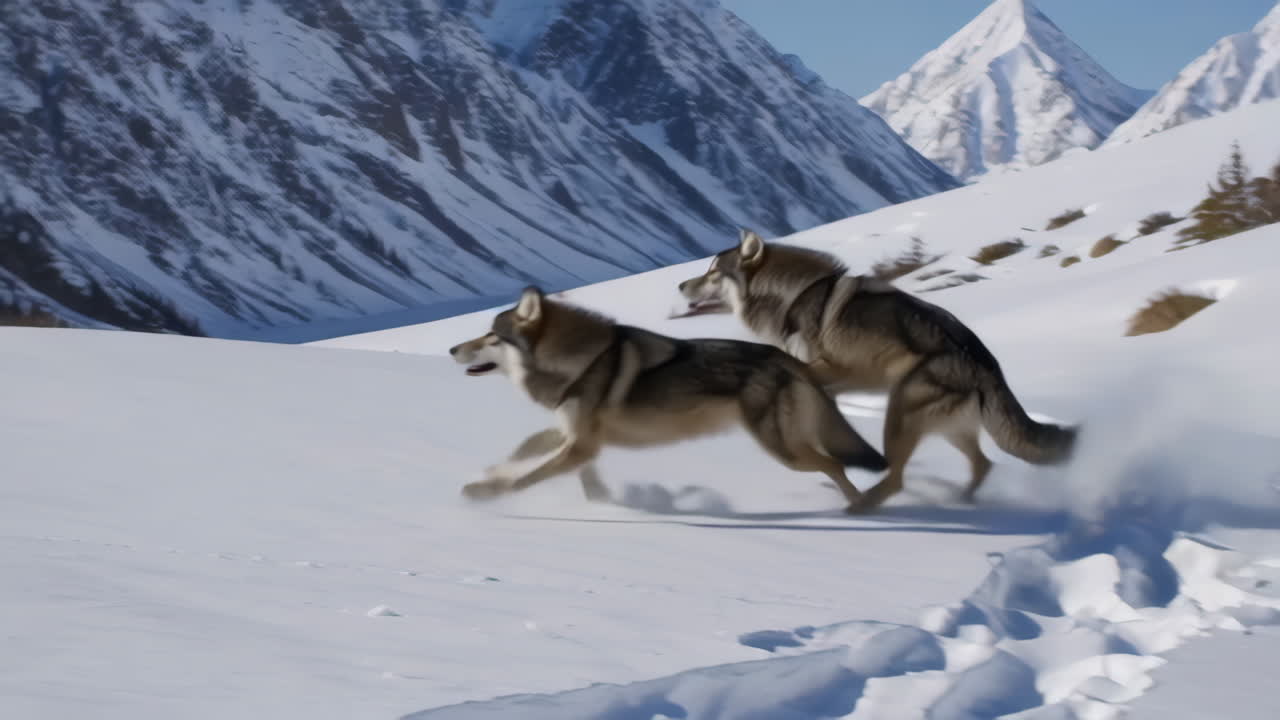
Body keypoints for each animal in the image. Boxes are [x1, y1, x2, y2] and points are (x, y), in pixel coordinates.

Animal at [449, 287, 887, 507]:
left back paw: (859, 506)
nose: (452, 349)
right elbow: (524, 451)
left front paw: (484, 494)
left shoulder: (581, 444)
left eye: (491, 336)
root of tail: (787, 358)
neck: (582, 361)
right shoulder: (575, 437)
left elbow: (528, 477)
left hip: (784, 452)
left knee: (836, 464)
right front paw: (491, 473)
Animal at [677, 229, 1077, 512]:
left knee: (899, 478)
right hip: (947, 427)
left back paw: (864, 506)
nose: (679, 284)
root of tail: (986, 364)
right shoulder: (839, 381)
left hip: (900, 413)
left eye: (713, 272)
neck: (791, 297)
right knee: (982, 465)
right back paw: (960, 501)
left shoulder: (827, 368)